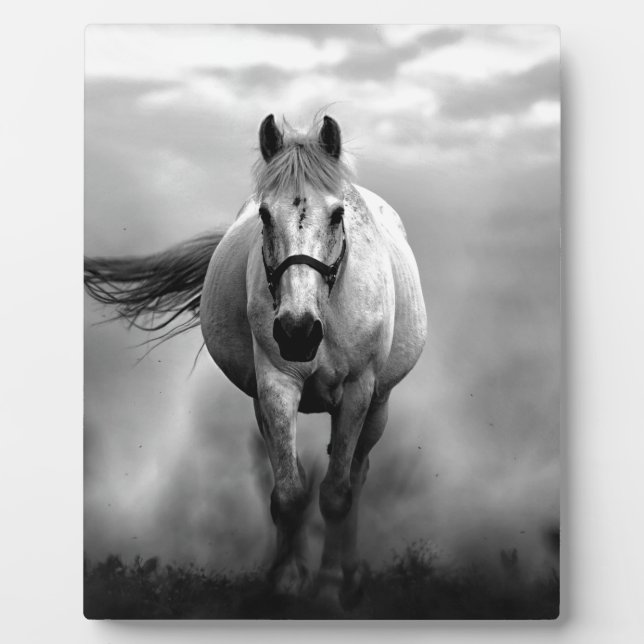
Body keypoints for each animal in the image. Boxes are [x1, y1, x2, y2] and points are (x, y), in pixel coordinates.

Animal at [84, 114, 427, 608]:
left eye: (338, 214)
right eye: (265, 215)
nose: (298, 331)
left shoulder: (358, 391)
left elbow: (336, 494)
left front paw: (328, 588)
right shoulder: (275, 386)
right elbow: (289, 491)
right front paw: (287, 581)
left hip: (378, 406)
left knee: (357, 476)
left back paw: (350, 575)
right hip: (262, 405)